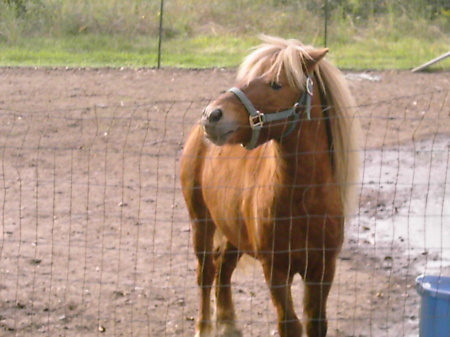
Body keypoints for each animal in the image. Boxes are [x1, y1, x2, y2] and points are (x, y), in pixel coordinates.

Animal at [181, 34, 360, 336]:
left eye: (276, 83)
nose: (212, 115)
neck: (303, 200)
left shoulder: (322, 269)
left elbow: (315, 323)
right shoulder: (275, 270)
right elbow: (289, 324)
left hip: (233, 231)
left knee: (223, 266)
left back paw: (228, 324)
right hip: (201, 221)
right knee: (206, 273)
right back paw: (205, 327)